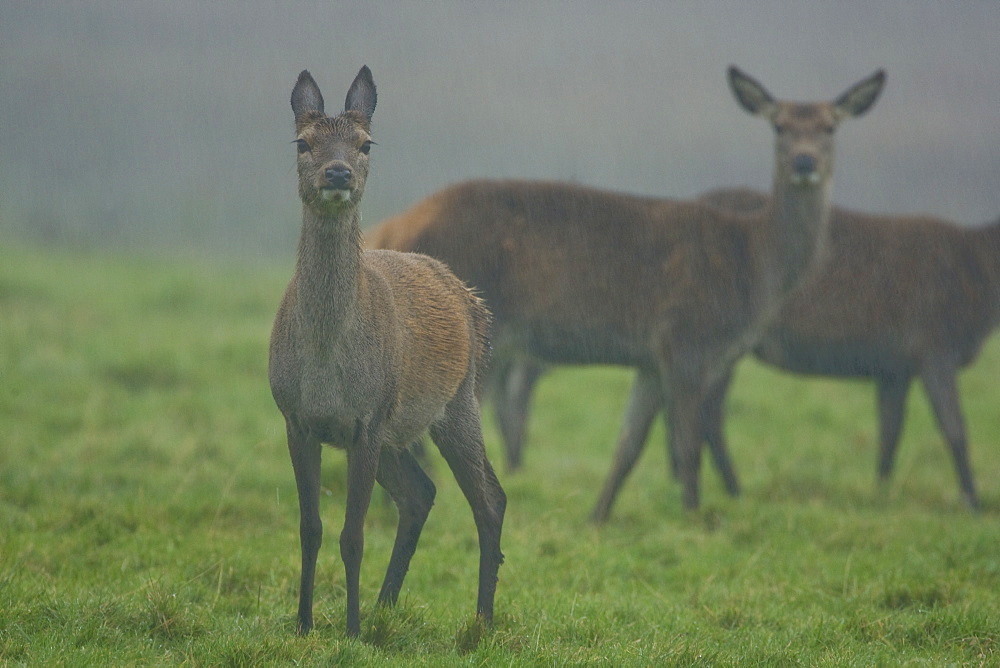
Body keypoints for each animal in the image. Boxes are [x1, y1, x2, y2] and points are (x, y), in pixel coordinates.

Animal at [270, 66, 504, 636]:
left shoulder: (368, 418)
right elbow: (310, 527)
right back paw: (385, 606)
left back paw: (482, 621)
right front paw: (304, 625)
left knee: (490, 499)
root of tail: (472, 302)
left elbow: (352, 535)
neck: (327, 360)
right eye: (303, 142)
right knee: (420, 494)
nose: (336, 174)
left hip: (457, 401)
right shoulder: (296, 417)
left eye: (365, 143)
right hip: (403, 428)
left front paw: (350, 630)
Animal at [372, 66, 888, 516]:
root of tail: (392, 226)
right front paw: (692, 515)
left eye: (830, 126)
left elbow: (629, 445)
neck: (754, 269)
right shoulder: (688, 340)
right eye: (779, 125)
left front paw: (597, 516)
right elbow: (686, 443)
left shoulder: (651, 360)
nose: (805, 162)